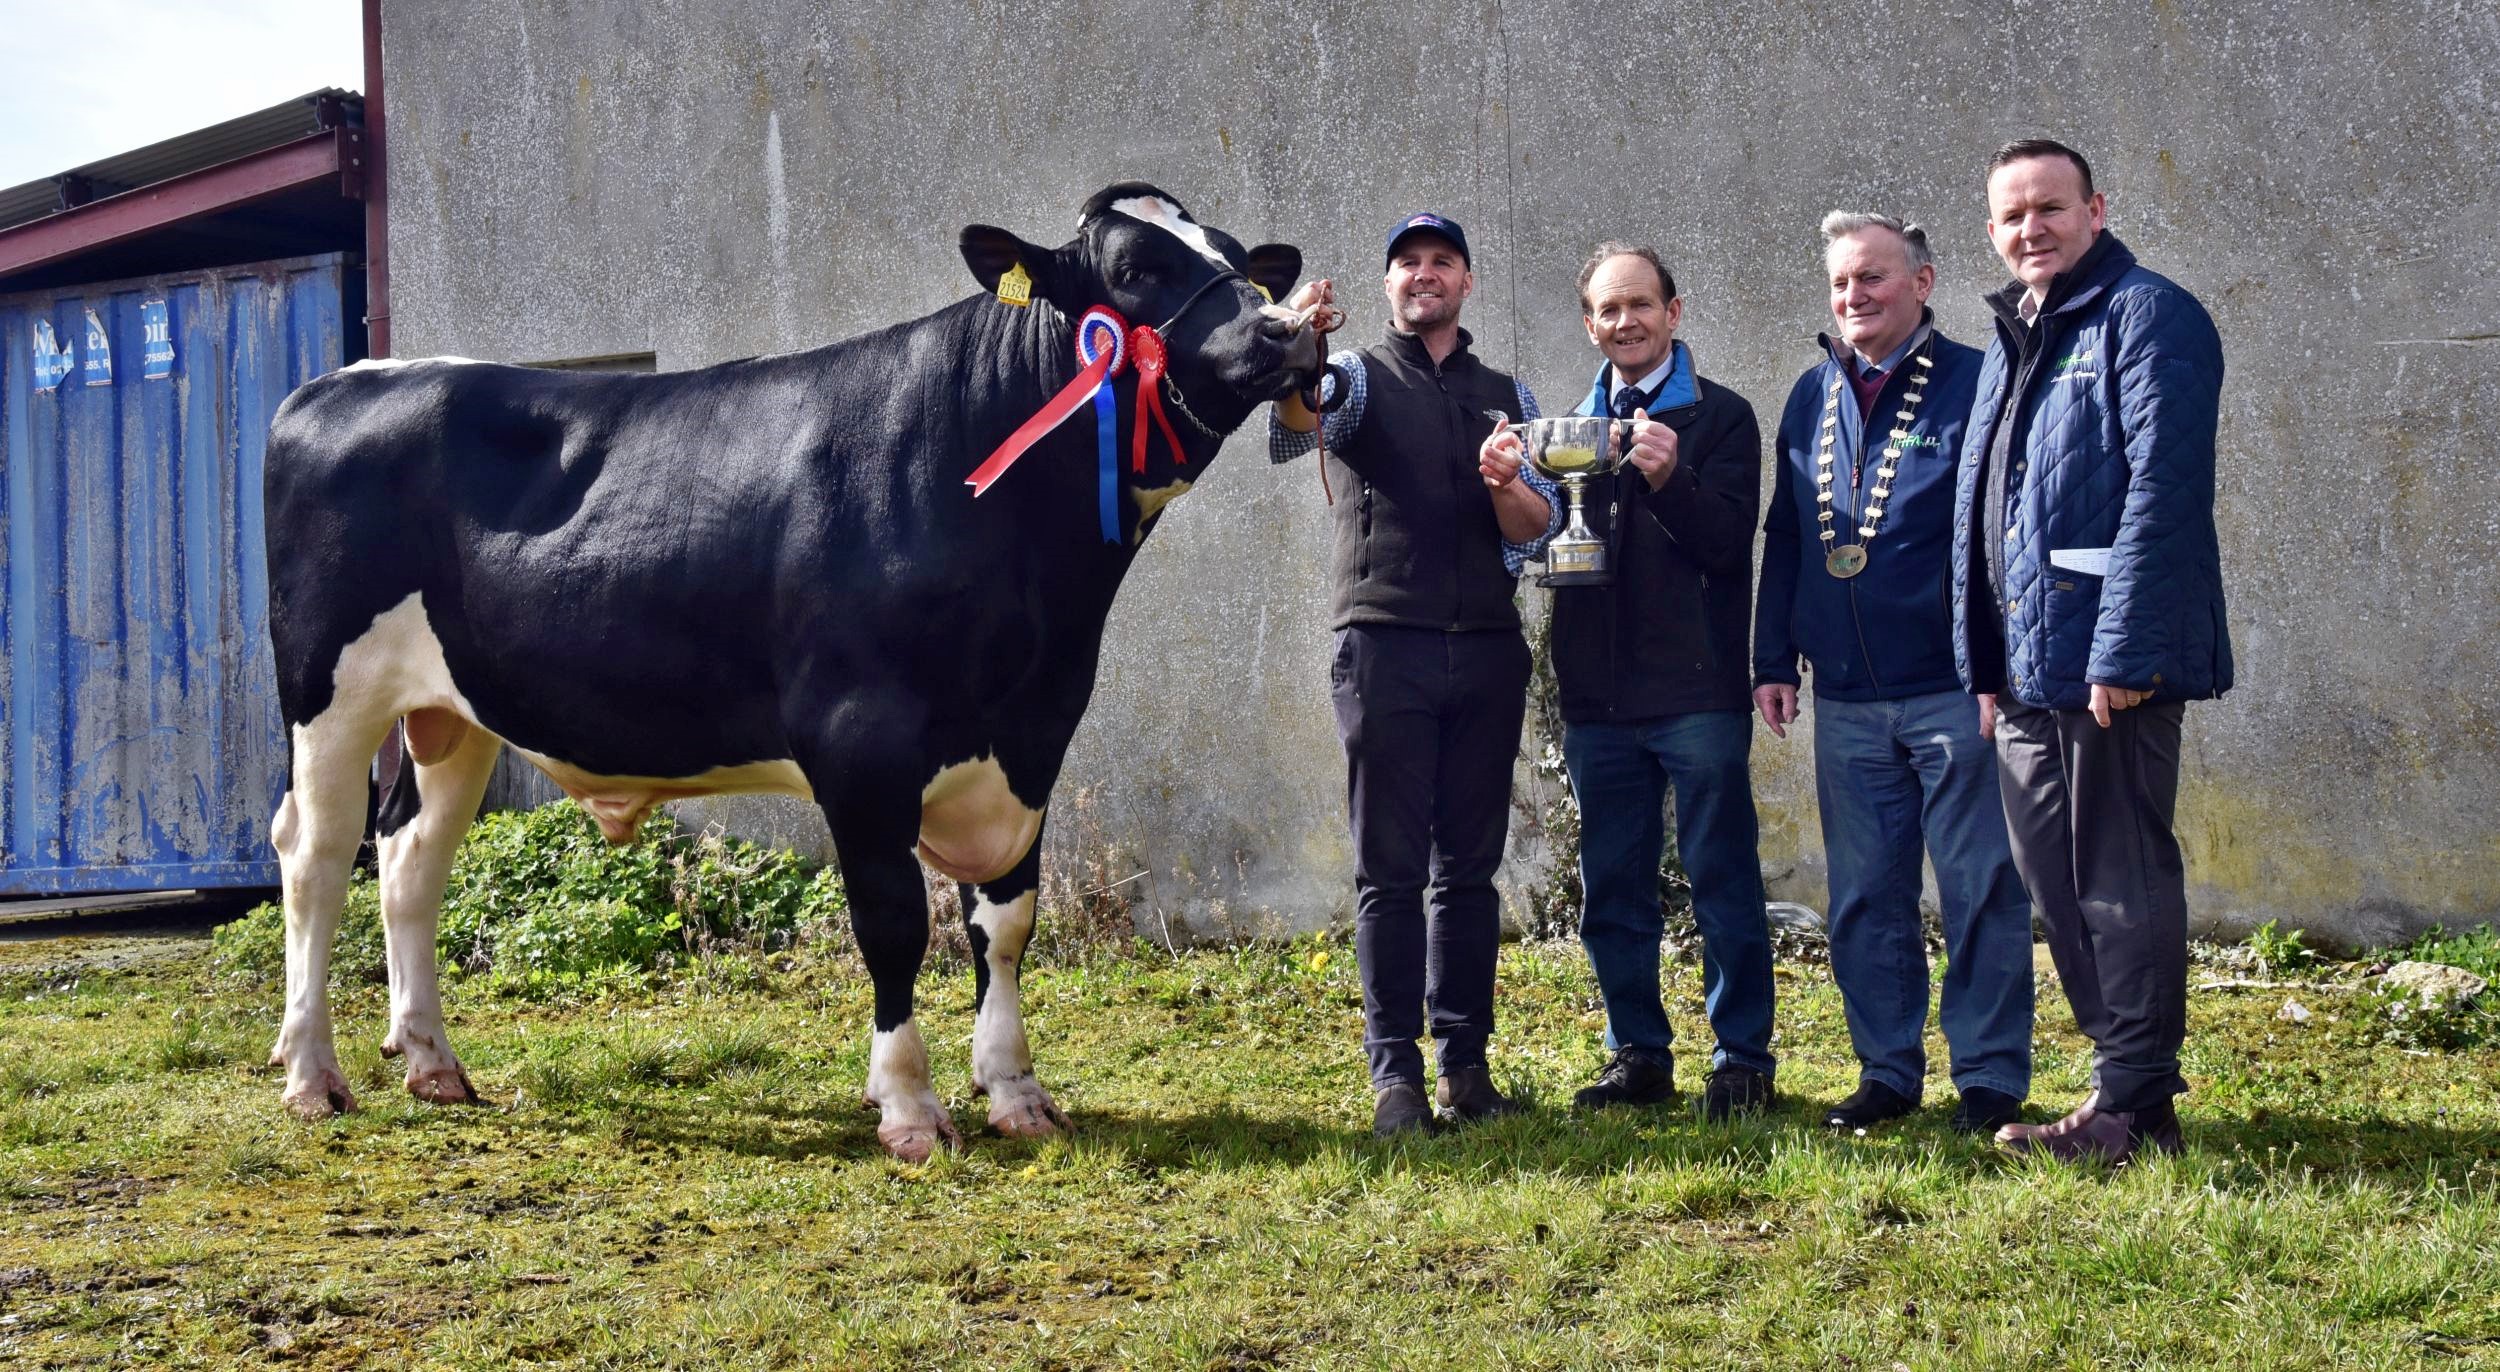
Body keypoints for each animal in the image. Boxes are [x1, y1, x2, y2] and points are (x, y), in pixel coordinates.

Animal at [268, 182, 1330, 1154]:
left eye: (1243, 258)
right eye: (1137, 268)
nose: (1289, 330)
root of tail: (340, 381)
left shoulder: (1034, 738)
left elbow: (1004, 923)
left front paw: (1016, 1093)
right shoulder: (862, 742)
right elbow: (895, 922)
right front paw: (909, 1108)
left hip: (453, 712)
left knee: (411, 859)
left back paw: (432, 1063)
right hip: (328, 694)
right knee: (317, 857)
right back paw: (312, 1073)